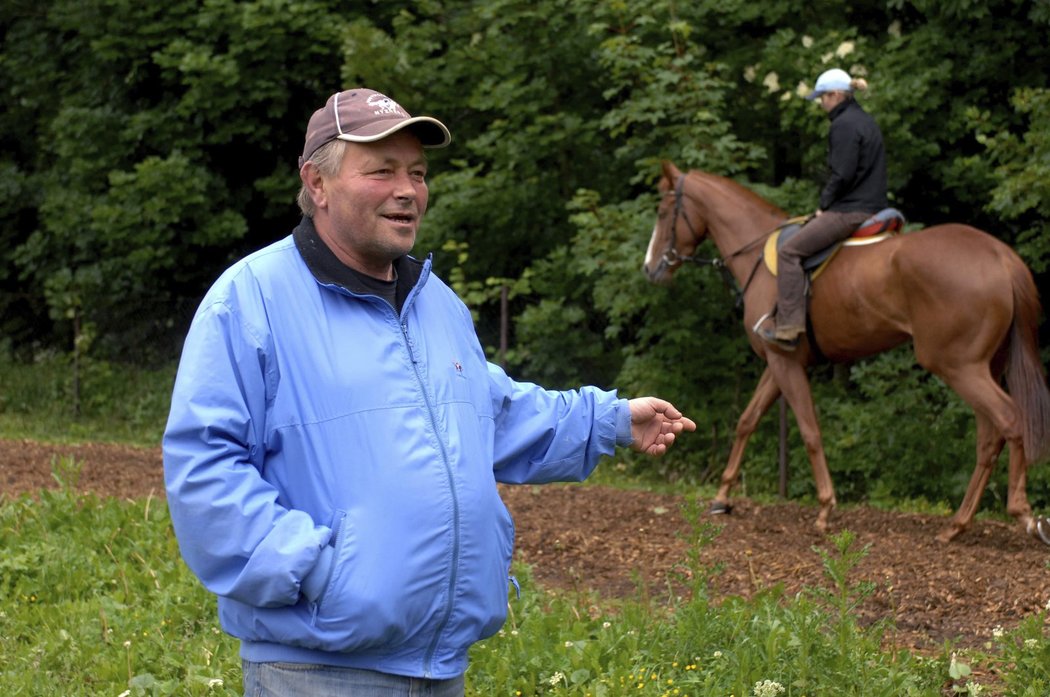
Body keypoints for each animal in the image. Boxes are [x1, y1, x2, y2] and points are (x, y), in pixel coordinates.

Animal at [642, 159, 1050, 545]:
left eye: (663, 212)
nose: (650, 269)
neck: (757, 253)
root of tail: (1000, 256)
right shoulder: (778, 364)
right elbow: (747, 421)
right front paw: (722, 496)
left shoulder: (785, 363)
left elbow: (809, 431)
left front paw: (825, 508)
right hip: (983, 368)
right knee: (990, 437)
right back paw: (958, 525)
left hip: (960, 367)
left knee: (1010, 421)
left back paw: (1021, 512)